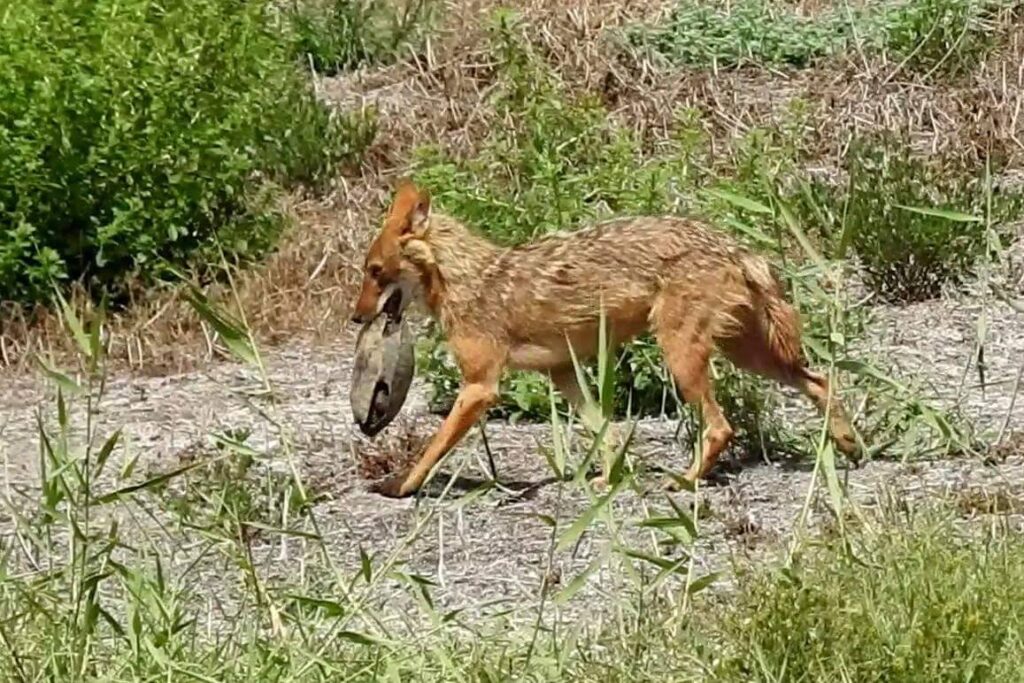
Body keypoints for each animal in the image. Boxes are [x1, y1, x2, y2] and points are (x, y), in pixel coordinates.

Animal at [351, 179, 861, 498]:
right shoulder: (564, 374)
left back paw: (685, 481)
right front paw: (609, 480)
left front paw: (401, 487)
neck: (468, 279)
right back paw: (850, 444)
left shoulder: (480, 388)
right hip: (747, 355)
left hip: (683, 358)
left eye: (374, 272)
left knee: (722, 427)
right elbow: (608, 432)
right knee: (821, 381)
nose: (355, 317)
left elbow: (431, 449)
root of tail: (732, 245)